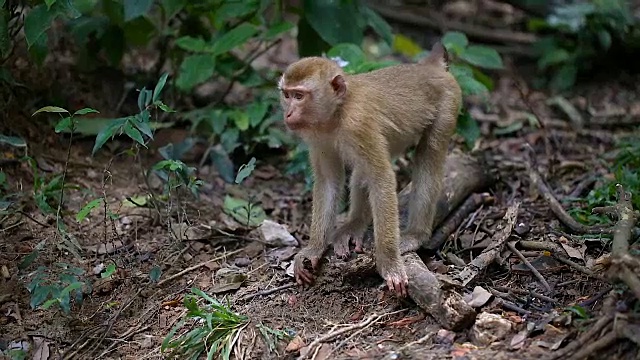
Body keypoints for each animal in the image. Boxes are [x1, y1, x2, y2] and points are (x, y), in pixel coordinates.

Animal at [278, 42, 462, 296]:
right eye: (286, 95)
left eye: (299, 96)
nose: (288, 113)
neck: (338, 113)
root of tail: (428, 67)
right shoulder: (318, 137)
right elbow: (329, 182)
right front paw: (313, 250)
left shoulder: (358, 125)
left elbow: (381, 178)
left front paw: (389, 264)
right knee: (362, 171)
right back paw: (355, 224)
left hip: (448, 100)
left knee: (429, 157)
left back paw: (416, 234)